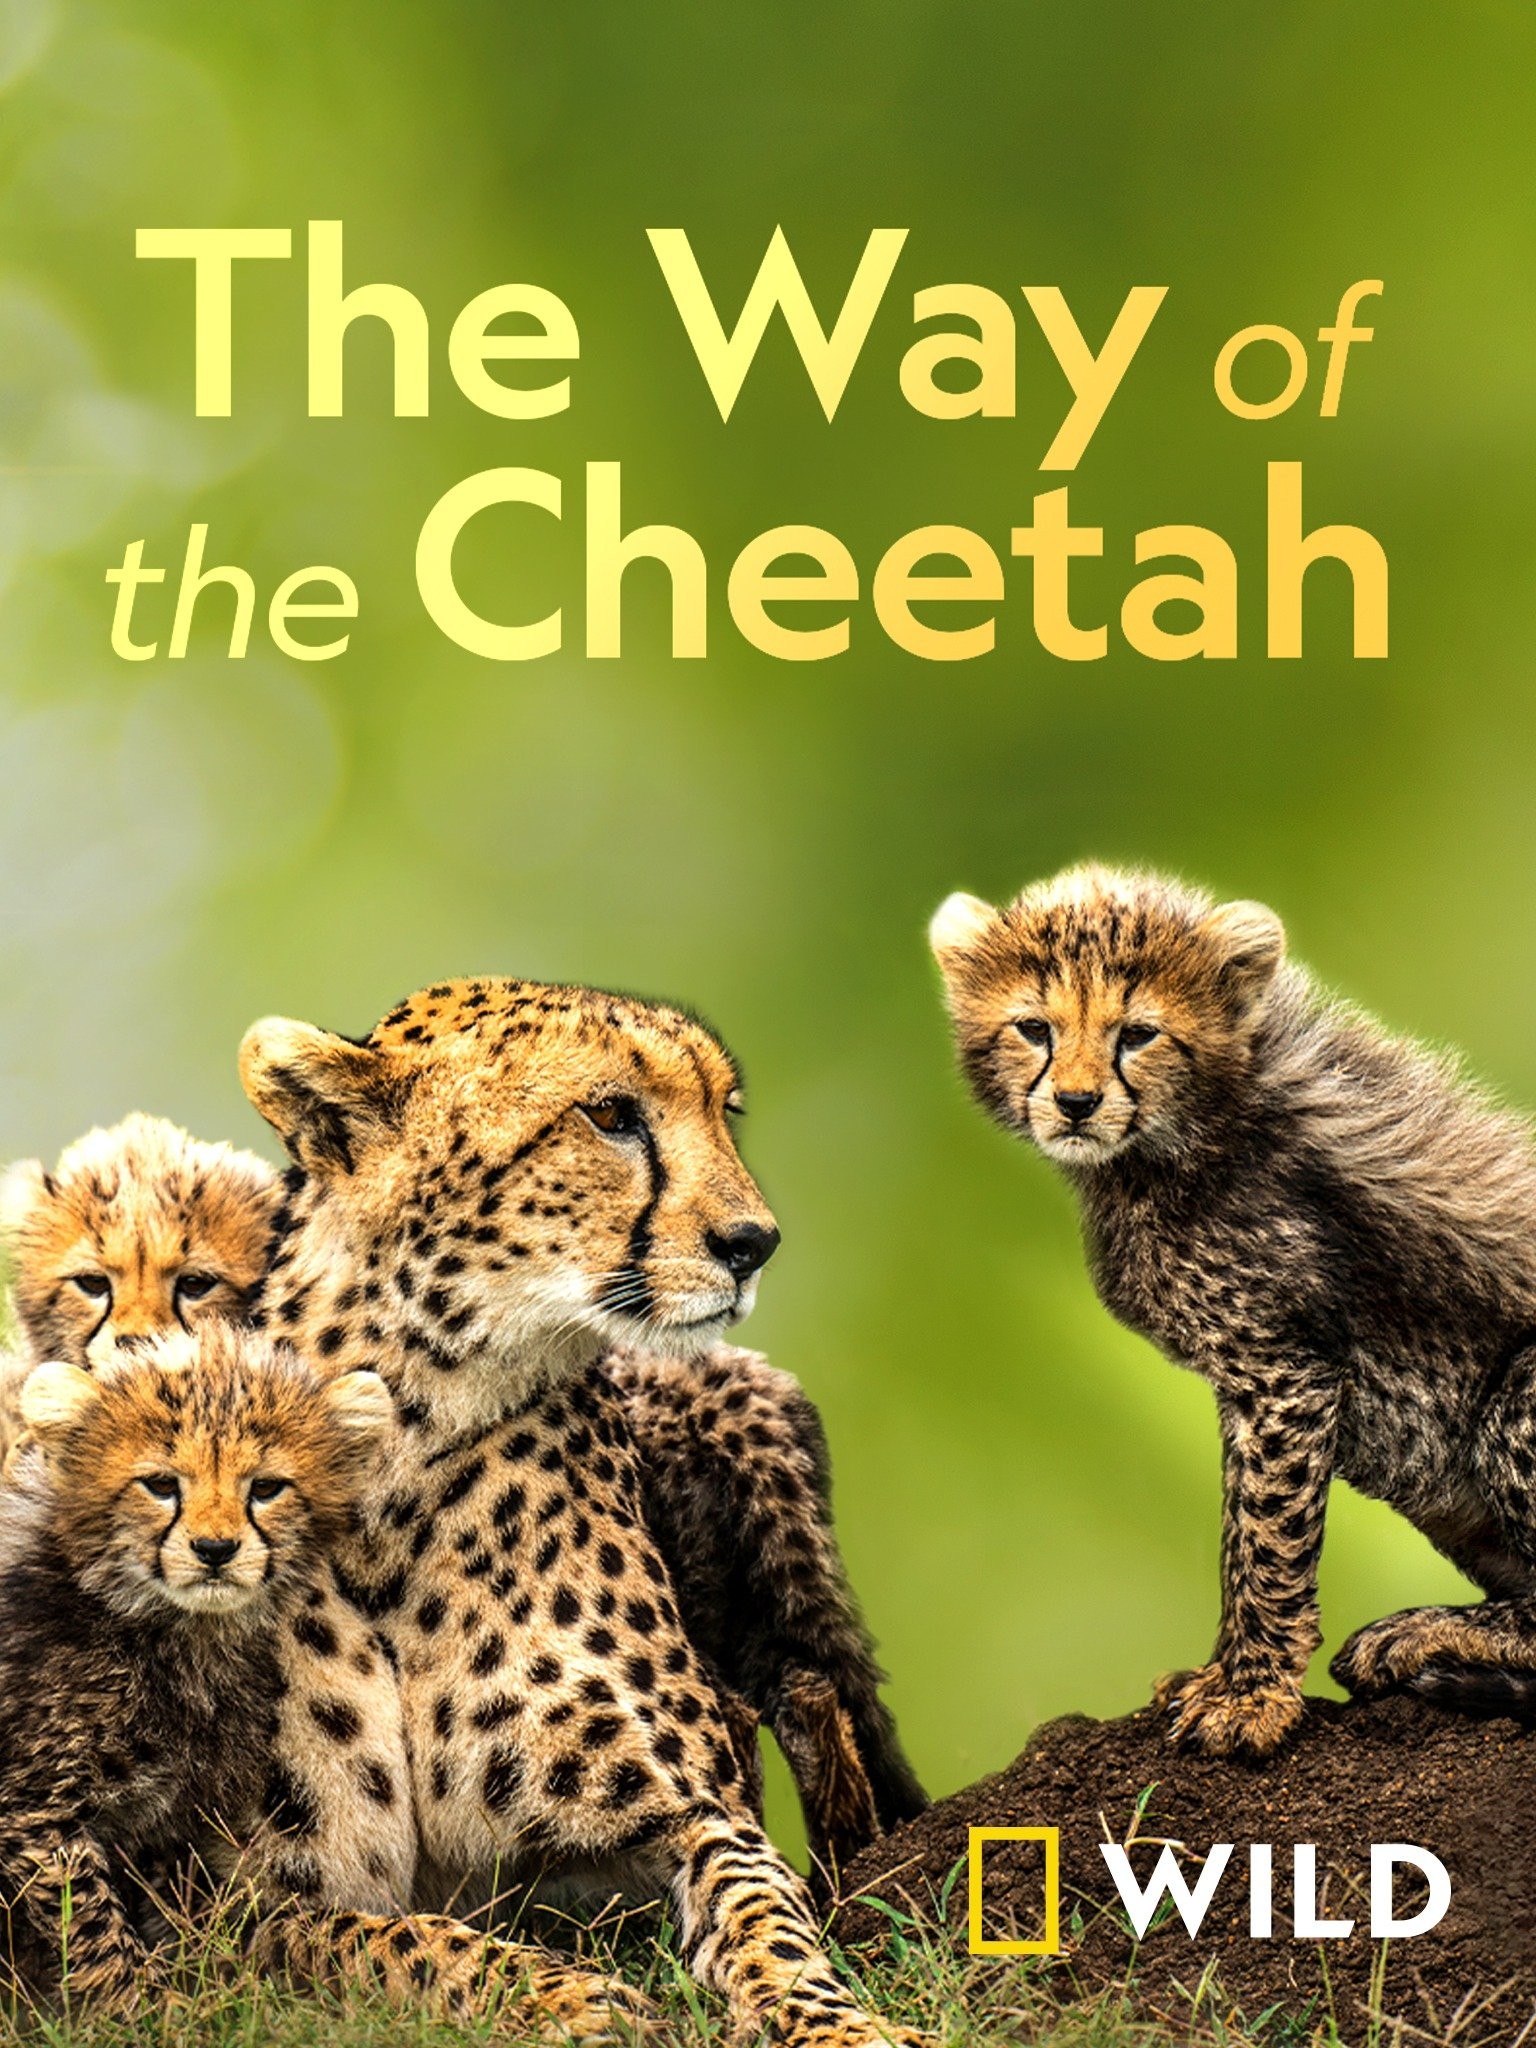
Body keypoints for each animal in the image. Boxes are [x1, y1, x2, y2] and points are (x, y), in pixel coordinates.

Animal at [240, 976, 925, 2046]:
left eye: (724, 1112)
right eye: (611, 1115)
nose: (755, 1243)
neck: (409, 1441)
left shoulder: (692, 1810)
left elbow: (768, 1923)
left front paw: (840, 2026)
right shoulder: (230, 1906)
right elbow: (385, 1944)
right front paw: (563, 1996)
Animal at [931, 862, 1536, 1760]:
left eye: (1138, 1034)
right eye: (1034, 1028)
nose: (1075, 1103)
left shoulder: (1284, 1372)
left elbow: (1267, 1537)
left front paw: (1251, 1698)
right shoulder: (1245, 1380)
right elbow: (1235, 1530)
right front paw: (1220, 1677)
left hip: (1515, 1395)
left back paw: (1425, 1633)